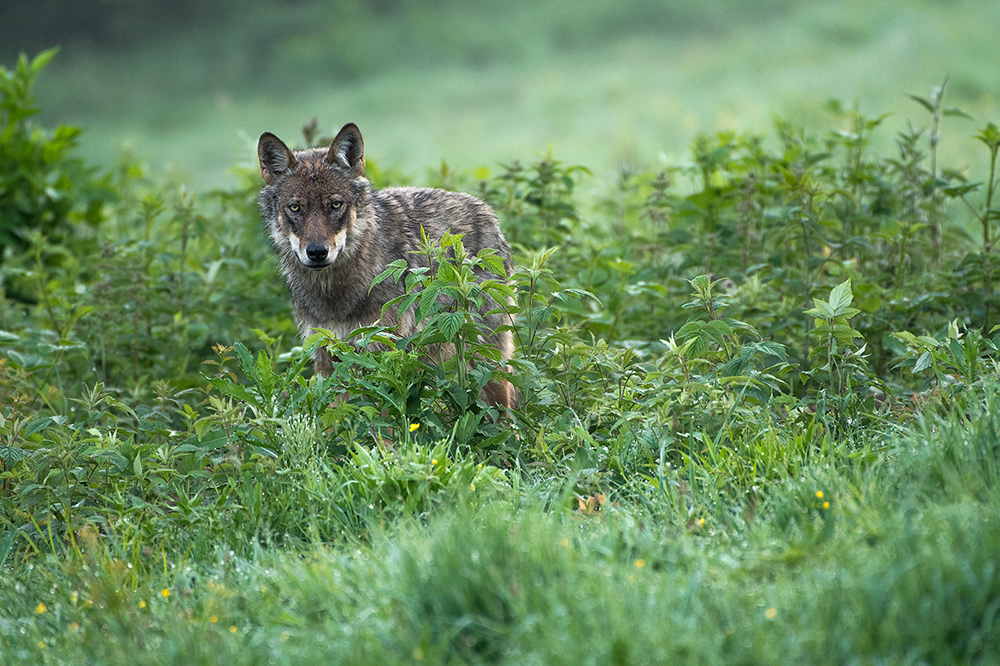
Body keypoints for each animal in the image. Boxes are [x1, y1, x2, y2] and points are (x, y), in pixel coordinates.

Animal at [254, 122, 520, 408]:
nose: (316, 252)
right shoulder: (327, 358)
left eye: (336, 205)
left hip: (486, 362)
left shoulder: (383, 355)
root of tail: (486, 210)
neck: (335, 295)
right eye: (295, 208)